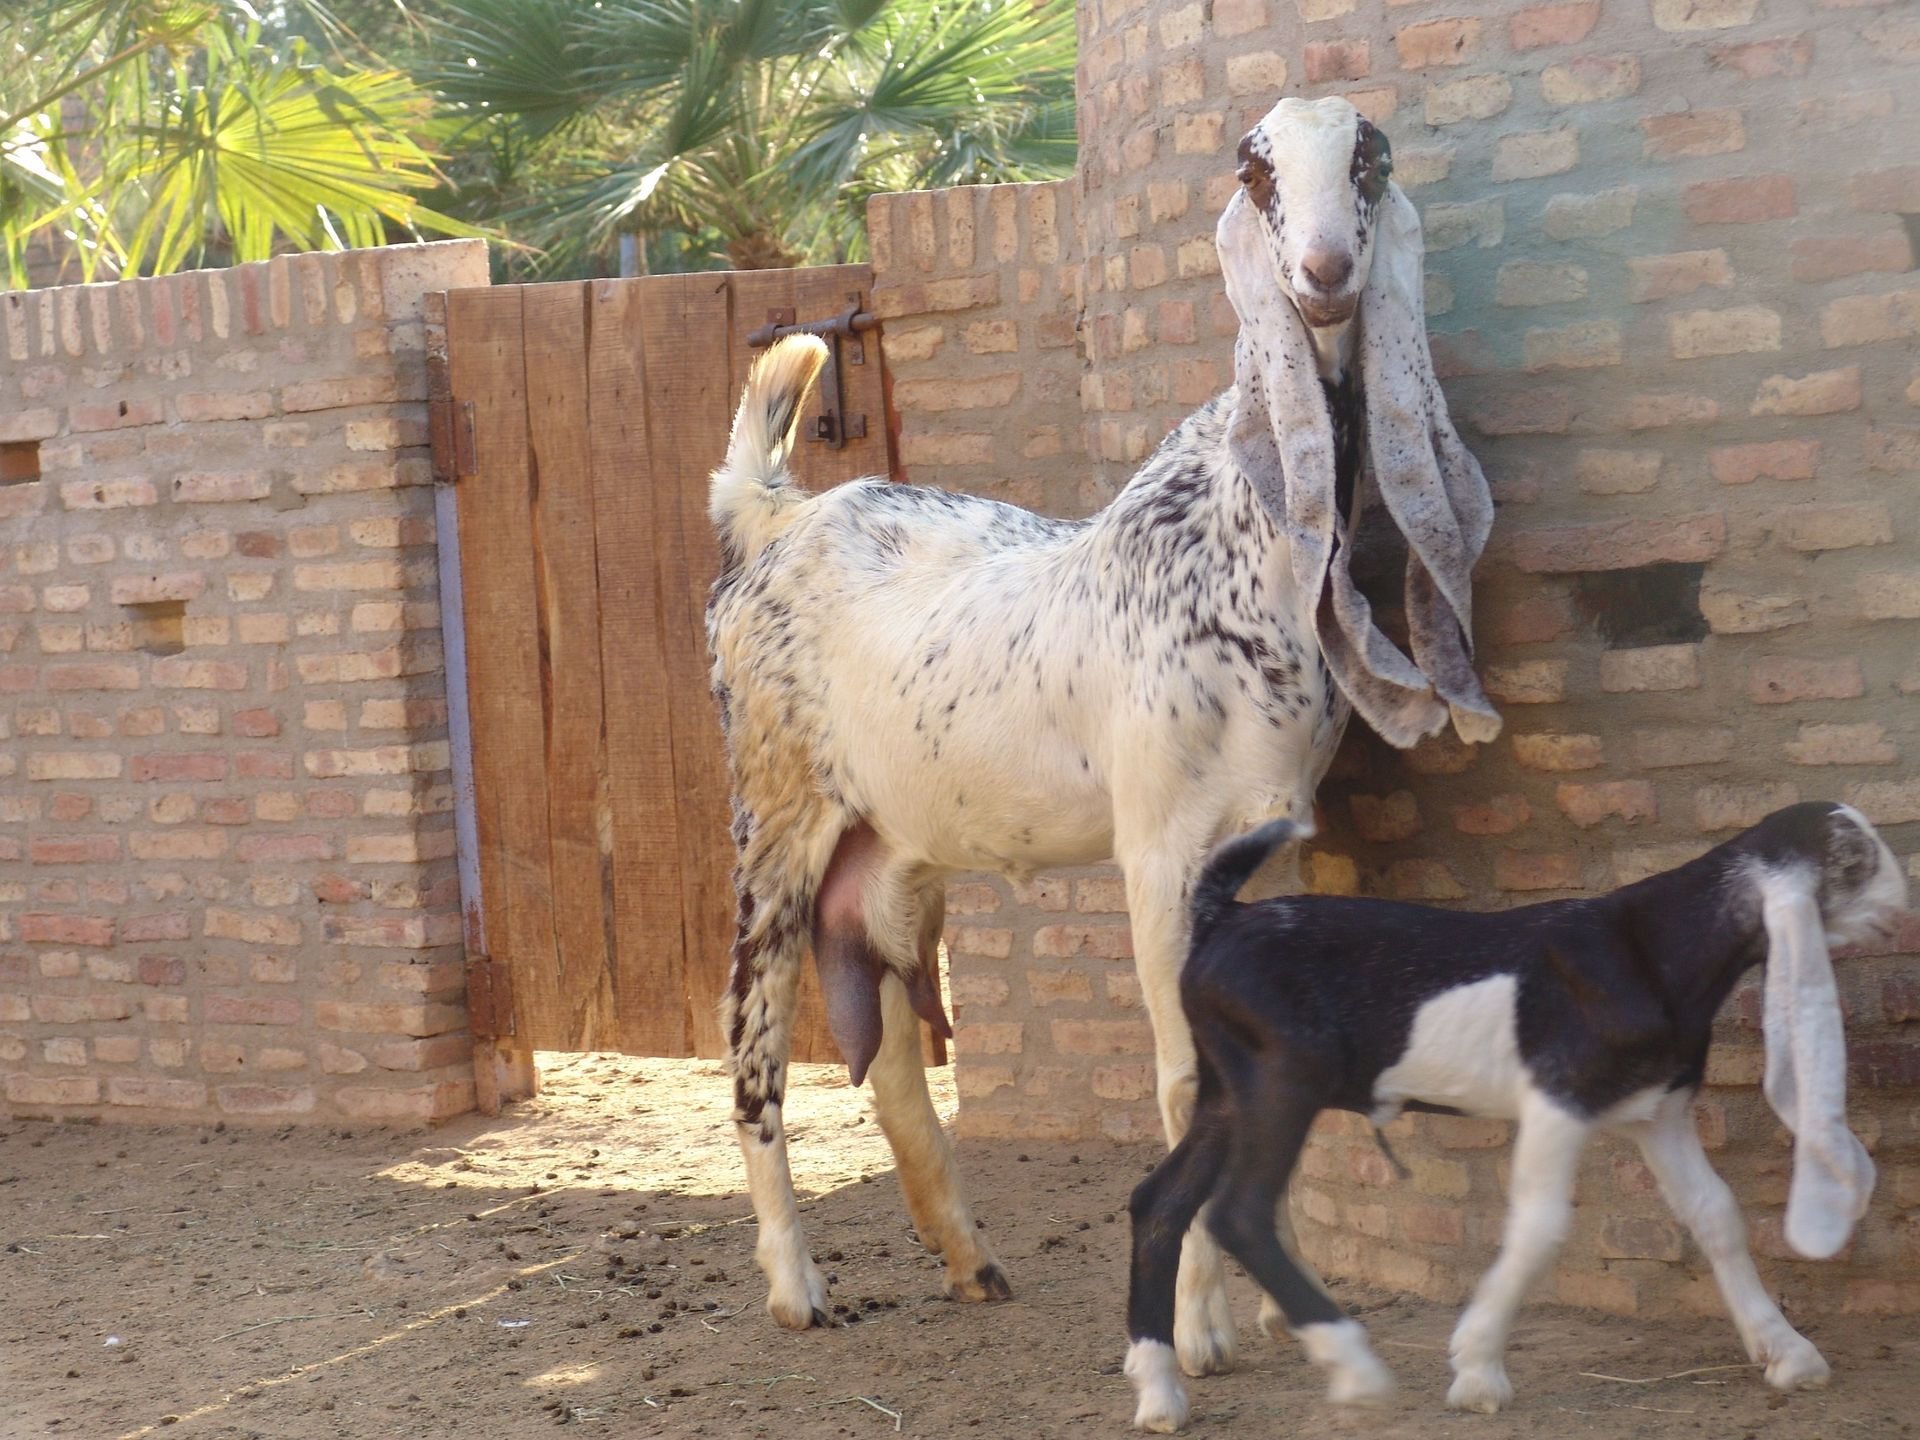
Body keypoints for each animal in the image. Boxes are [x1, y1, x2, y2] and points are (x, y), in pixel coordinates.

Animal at [706, 95, 1499, 1370]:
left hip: (893, 844)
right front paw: (1197, 1330)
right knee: (753, 1032)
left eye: (1370, 161)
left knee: (891, 1044)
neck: (1239, 543)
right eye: (1255, 171)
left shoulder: (1265, 835)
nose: (1327, 274)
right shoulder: (1159, 845)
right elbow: (1182, 1080)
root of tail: (775, 520)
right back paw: (795, 1283)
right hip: (774, 816)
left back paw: (971, 1261)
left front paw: (1278, 1299)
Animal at [1124, 802, 1906, 1431]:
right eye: (1854, 862)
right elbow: (1540, 1227)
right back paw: (1354, 1368)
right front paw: (1476, 1372)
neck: (1652, 945)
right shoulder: (1558, 1099)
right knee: (1239, 1212)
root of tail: (1223, 915)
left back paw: (1159, 1391)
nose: (1904, 909)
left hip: (1229, 1089)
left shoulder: (1657, 1110)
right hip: (1284, 1079)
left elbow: (1715, 1213)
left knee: (1160, 1201)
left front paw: (1788, 1353)